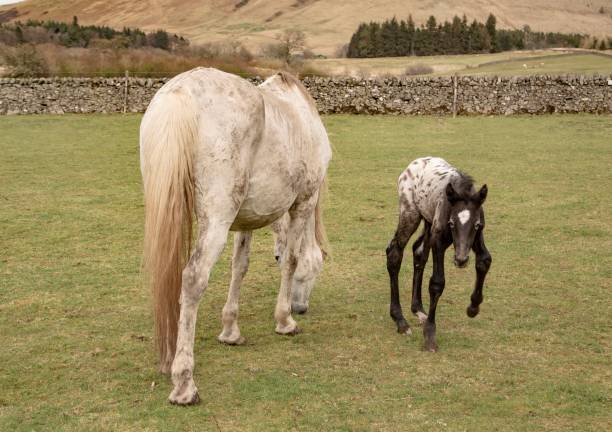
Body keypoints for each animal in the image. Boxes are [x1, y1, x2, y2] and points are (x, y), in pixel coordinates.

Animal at [140, 67, 330, 404]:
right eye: (317, 270)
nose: (300, 308)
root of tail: (181, 92)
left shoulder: (246, 220)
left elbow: (239, 267)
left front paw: (230, 330)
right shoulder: (303, 203)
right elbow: (292, 260)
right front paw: (285, 321)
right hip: (216, 221)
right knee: (193, 279)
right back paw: (184, 383)